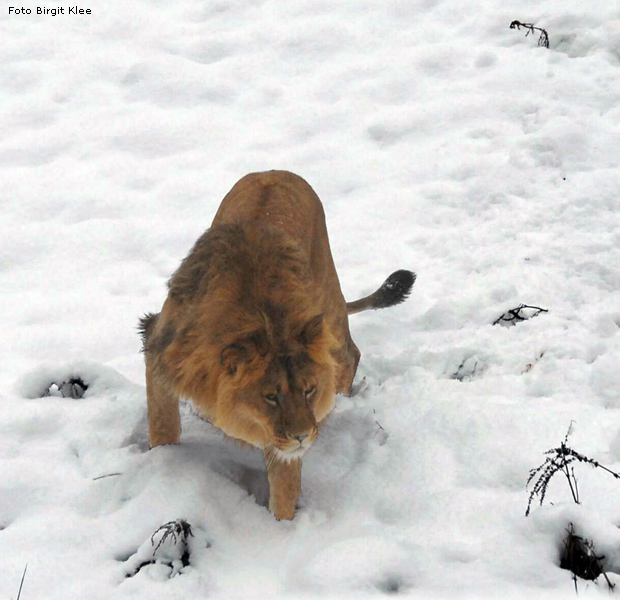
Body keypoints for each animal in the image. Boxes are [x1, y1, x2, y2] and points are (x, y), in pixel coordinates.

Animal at [138, 170, 414, 520]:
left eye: (309, 390)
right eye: (271, 396)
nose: (303, 436)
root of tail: (275, 172)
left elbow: (285, 482)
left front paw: (283, 527)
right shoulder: (157, 343)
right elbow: (163, 423)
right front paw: (163, 463)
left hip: (328, 304)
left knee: (350, 353)